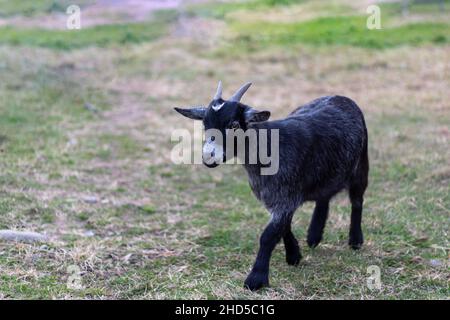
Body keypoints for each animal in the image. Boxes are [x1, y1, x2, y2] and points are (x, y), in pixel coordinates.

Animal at [174, 82, 368, 290]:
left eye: (234, 125)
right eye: (205, 124)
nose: (208, 157)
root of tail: (339, 97)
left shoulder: (285, 197)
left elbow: (268, 235)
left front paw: (256, 279)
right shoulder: (277, 198)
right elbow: (284, 227)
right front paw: (294, 255)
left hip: (361, 166)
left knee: (357, 200)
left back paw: (355, 240)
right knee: (324, 196)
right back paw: (314, 236)